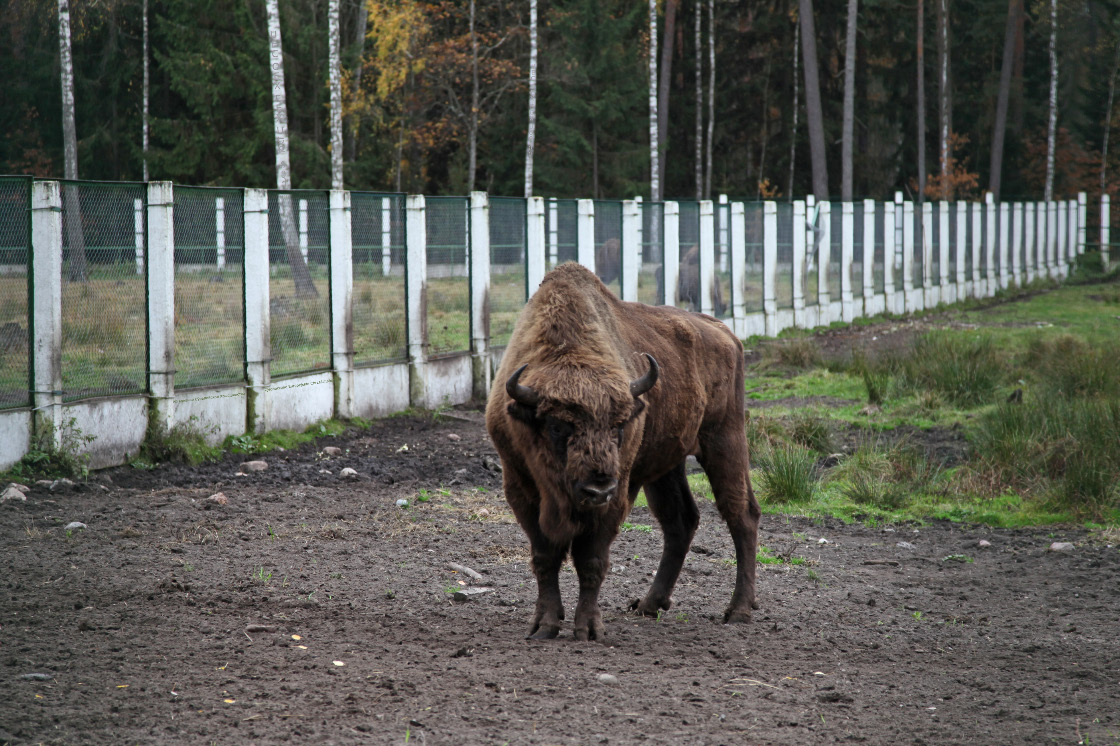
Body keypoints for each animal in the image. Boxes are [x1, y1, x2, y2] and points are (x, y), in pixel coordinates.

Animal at [483, 260, 761, 640]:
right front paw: (544, 625)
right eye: (556, 426)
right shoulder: (520, 489)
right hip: (667, 464)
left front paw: (588, 628)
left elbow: (591, 560)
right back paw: (649, 604)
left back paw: (739, 611)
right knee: (681, 521)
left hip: (724, 440)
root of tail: (724, 332)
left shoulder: (618, 494)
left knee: (741, 515)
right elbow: (545, 557)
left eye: (618, 426)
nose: (597, 487)